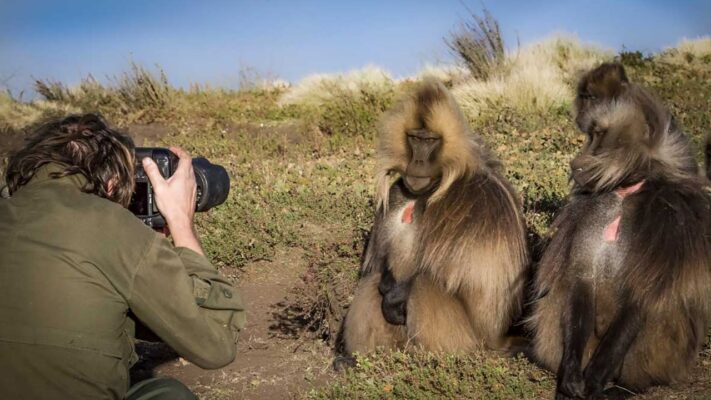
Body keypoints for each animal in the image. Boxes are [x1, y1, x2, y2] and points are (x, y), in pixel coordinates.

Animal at [340, 79, 529, 357]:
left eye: (430, 140)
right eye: (414, 138)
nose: (418, 161)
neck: (429, 189)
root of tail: (498, 340)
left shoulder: (467, 199)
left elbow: (456, 275)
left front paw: (394, 298)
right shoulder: (397, 192)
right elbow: (379, 265)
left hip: (469, 341)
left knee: (423, 284)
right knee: (372, 282)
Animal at [528, 63, 711, 399]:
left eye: (598, 135)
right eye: (589, 134)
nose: (578, 164)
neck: (626, 190)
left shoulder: (669, 223)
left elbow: (643, 296)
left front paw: (593, 380)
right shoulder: (590, 217)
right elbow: (580, 281)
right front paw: (571, 379)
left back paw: (622, 388)